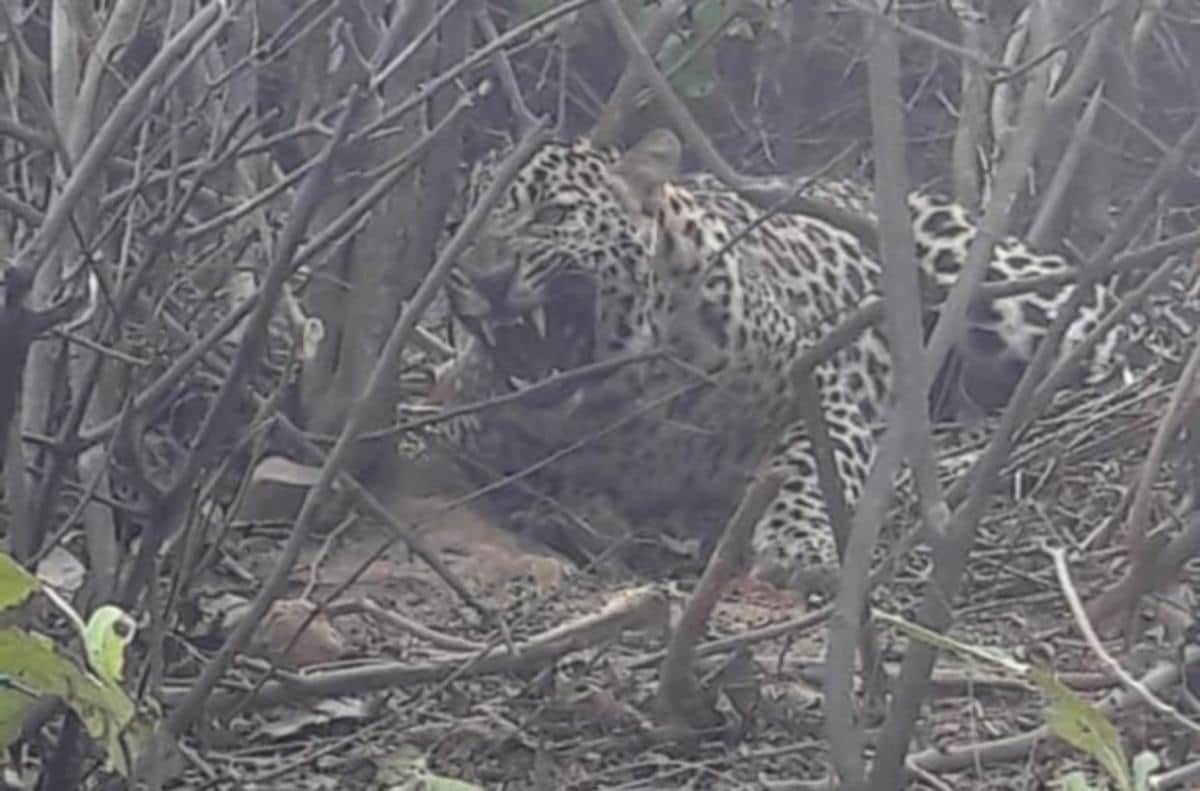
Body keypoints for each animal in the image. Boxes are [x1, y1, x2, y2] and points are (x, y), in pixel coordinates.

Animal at [430, 128, 1127, 596]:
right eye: (457, 229)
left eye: (552, 214)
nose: (487, 278)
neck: (622, 399)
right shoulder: (466, 424)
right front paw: (574, 514)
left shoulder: (818, 381)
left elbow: (807, 468)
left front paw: (798, 547)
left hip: (996, 281)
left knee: (1110, 324)